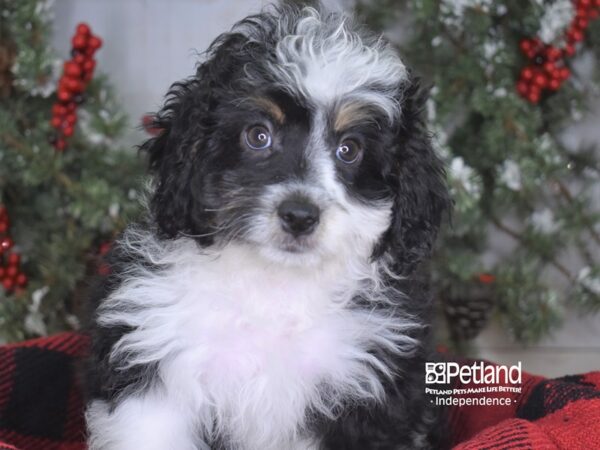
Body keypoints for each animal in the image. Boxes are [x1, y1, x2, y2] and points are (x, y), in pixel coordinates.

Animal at [84, 1, 450, 448]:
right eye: (258, 135)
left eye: (349, 149)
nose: (299, 215)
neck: (275, 287)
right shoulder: (156, 360)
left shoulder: (366, 391)